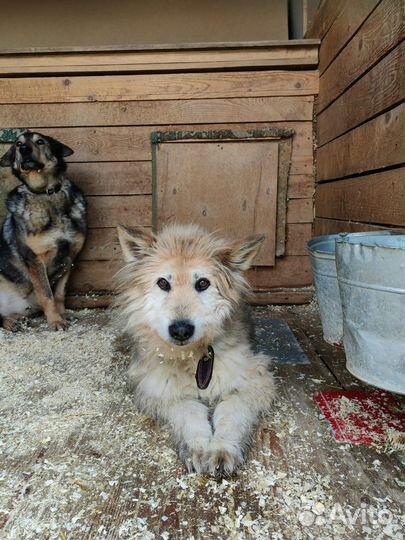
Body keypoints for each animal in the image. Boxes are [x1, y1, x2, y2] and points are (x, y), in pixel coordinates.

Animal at [0, 133, 87, 332]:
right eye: (18, 143)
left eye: (40, 141)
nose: (24, 149)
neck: (46, 193)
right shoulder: (34, 260)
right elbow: (47, 295)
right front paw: (55, 321)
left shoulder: (70, 257)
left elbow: (60, 293)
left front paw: (62, 315)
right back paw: (10, 322)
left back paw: (17, 318)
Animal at [115, 224, 276, 476]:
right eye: (163, 283)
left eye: (202, 283)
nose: (181, 330)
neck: (193, 356)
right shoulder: (161, 389)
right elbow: (190, 411)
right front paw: (199, 448)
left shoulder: (254, 381)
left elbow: (230, 411)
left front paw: (222, 448)